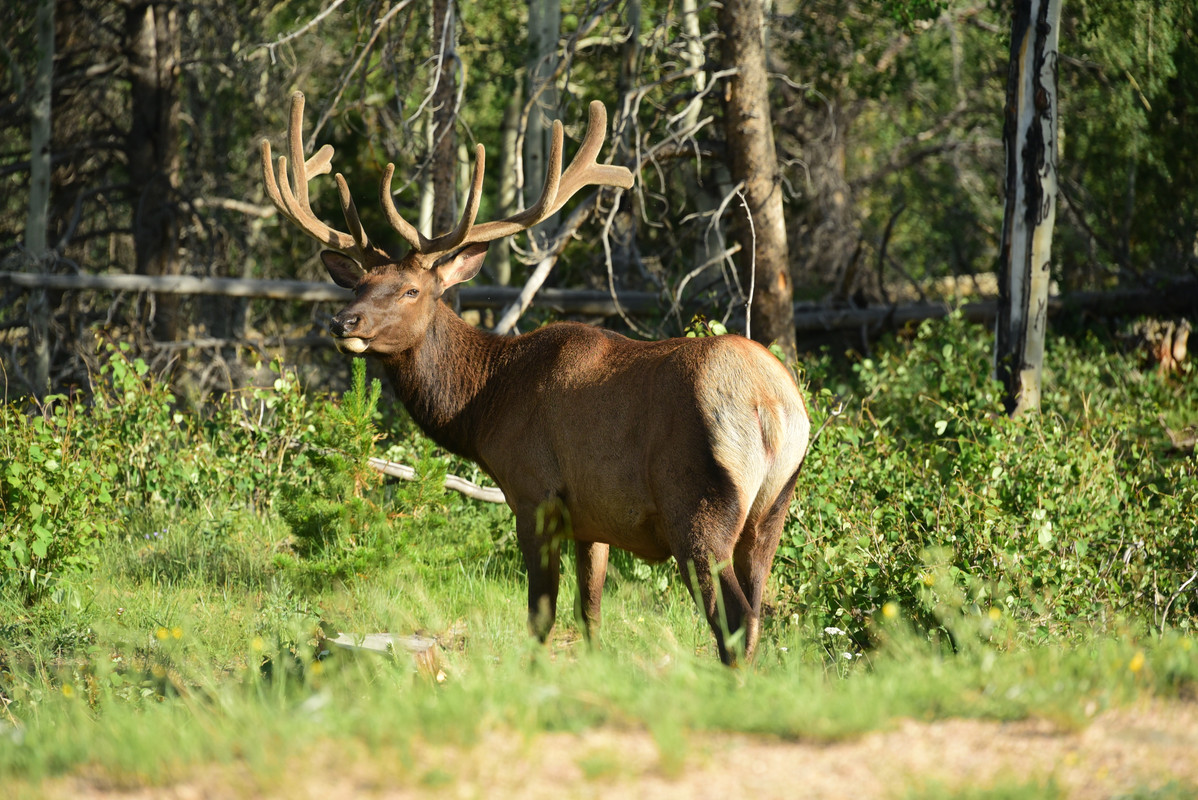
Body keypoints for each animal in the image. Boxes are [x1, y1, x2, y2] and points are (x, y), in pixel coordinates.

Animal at [257, 90, 809, 661]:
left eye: (411, 290)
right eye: (358, 285)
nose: (342, 322)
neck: (485, 405)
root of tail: (772, 406)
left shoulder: (533, 491)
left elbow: (540, 614)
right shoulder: (594, 518)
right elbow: (590, 611)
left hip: (698, 504)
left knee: (735, 619)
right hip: (772, 509)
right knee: (758, 610)